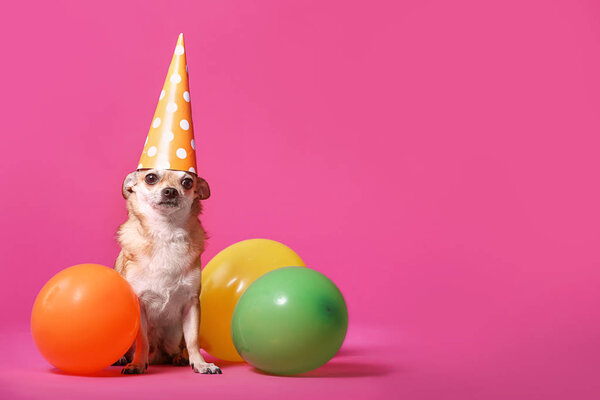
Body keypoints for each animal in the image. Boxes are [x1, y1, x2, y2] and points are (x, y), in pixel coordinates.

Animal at [115, 169, 223, 376]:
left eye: (188, 182)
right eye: (150, 178)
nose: (171, 191)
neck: (165, 232)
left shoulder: (191, 303)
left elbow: (193, 340)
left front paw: (201, 364)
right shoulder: (139, 305)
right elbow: (143, 340)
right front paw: (137, 365)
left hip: (174, 334)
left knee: (178, 347)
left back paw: (180, 358)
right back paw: (123, 358)